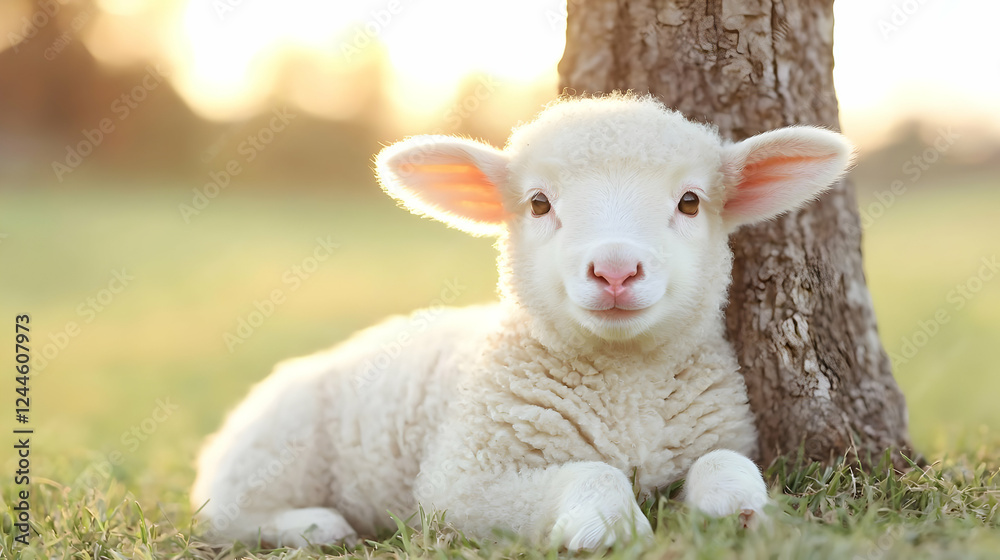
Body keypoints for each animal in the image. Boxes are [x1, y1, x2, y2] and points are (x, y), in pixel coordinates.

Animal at [191, 93, 853, 550]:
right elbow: (593, 474)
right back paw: (316, 524)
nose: (615, 270)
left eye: (690, 202)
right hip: (272, 450)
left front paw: (741, 513)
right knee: (225, 512)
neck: (626, 386)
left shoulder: (722, 435)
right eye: (539, 203)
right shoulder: (462, 484)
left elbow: (724, 464)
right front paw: (606, 529)